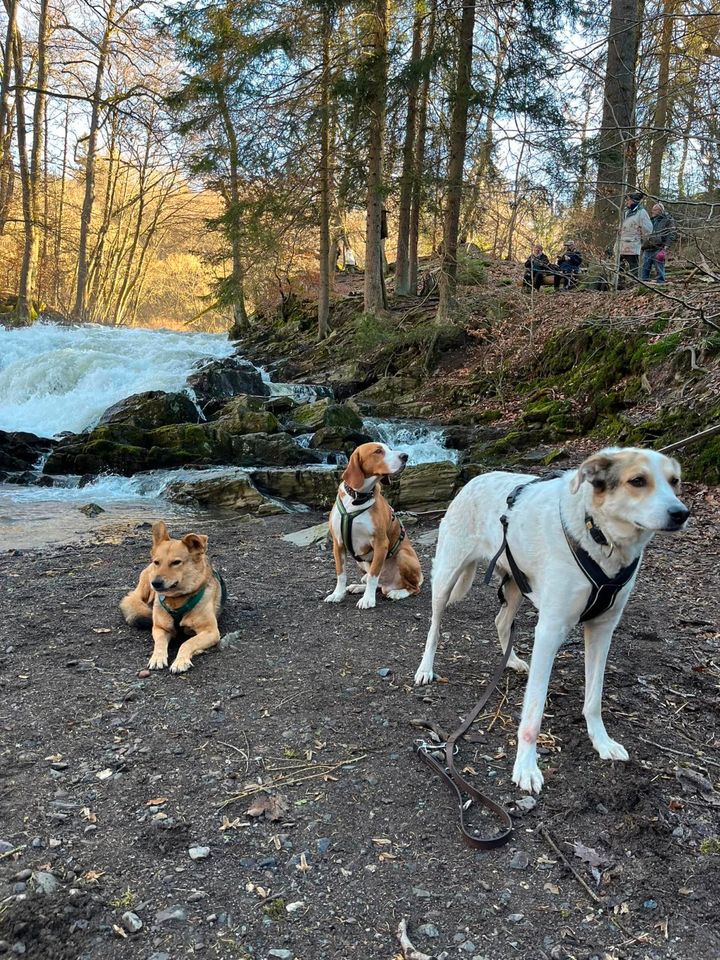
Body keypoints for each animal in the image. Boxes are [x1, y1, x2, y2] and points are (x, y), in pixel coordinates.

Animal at [120, 520, 225, 672]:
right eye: (157, 562)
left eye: (176, 562)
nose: (156, 583)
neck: (177, 599)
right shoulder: (160, 628)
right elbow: (159, 644)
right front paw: (157, 658)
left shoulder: (210, 631)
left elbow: (187, 643)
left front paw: (180, 661)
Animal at [324, 442, 424, 608]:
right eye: (378, 451)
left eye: (390, 449)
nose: (405, 456)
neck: (357, 499)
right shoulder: (338, 544)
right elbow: (341, 574)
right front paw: (338, 594)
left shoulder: (380, 543)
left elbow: (373, 576)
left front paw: (367, 599)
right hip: (362, 562)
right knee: (378, 584)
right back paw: (358, 587)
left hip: (403, 555)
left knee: (413, 588)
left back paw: (397, 593)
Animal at [414, 450, 688, 796]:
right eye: (637, 481)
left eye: (674, 481)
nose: (681, 514)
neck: (597, 534)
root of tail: (477, 478)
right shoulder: (549, 631)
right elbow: (532, 715)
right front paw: (526, 767)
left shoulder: (602, 630)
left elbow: (594, 698)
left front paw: (601, 741)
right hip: (447, 577)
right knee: (435, 626)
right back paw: (426, 668)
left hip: (515, 583)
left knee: (501, 620)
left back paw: (514, 660)